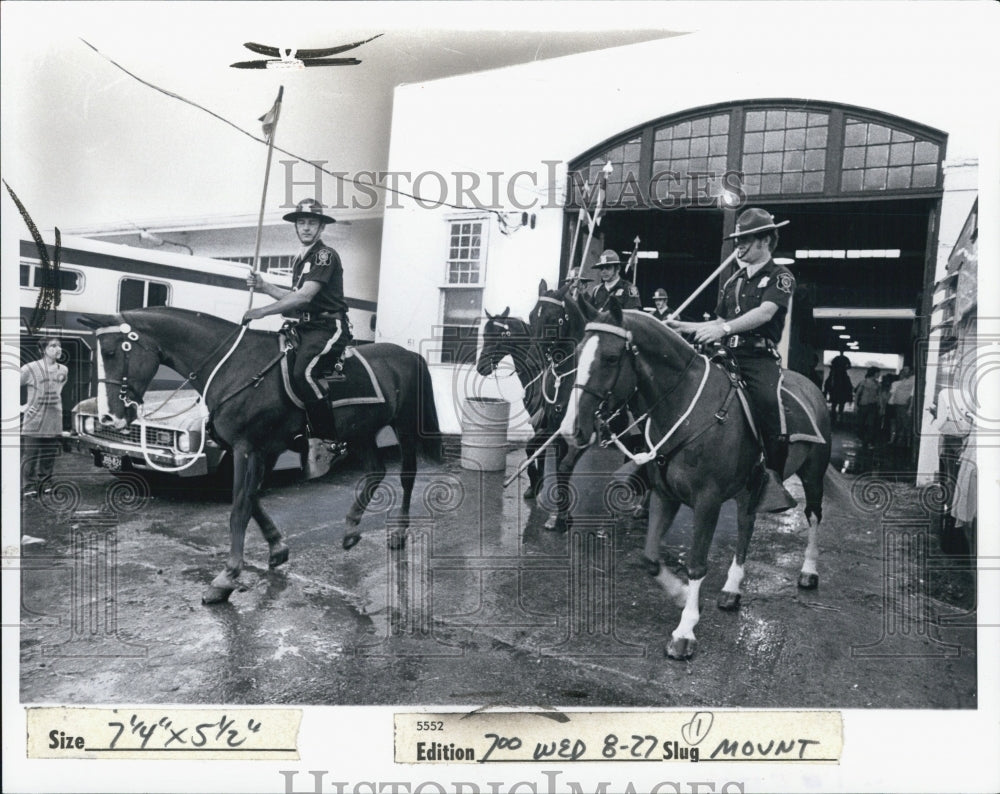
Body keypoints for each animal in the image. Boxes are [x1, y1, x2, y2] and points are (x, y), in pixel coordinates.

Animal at [84, 306, 444, 604]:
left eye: (112, 352)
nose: (109, 417)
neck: (235, 367)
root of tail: (408, 354)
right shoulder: (262, 450)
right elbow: (253, 497)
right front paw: (277, 547)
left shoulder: (247, 448)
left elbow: (240, 508)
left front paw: (226, 578)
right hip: (361, 432)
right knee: (376, 471)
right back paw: (352, 529)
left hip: (404, 426)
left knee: (406, 475)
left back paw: (398, 533)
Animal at [560, 300, 832, 660]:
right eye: (578, 353)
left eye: (611, 358)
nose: (571, 430)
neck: (684, 410)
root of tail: (812, 387)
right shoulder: (664, 494)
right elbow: (649, 558)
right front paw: (678, 593)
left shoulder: (707, 501)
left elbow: (697, 564)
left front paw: (685, 630)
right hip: (749, 488)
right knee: (746, 525)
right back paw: (732, 588)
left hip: (813, 475)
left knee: (813, 516)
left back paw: (808, 571)